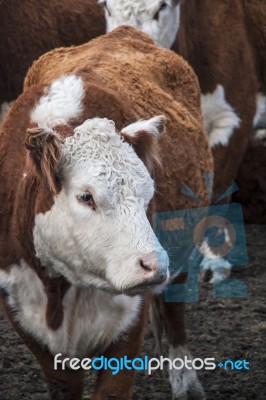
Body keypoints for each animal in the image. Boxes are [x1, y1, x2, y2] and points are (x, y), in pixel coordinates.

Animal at [0, 27, 212, 400]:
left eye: (149, 194)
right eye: (86, 196)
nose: (153, 264)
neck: (59, 287)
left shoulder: (129, 323)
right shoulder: (24, 314)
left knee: (175, 308)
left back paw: (186, 381)